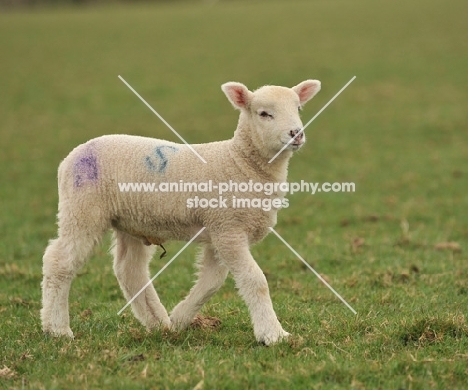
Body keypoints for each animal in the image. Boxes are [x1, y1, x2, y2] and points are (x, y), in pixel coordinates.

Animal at [42, 78, 322, 344]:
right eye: (264, 113)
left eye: (298, 108)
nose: (296, 133)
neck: (239, 162)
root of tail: (70, 157)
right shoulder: (228, 228)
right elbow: (256, 281)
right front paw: (273, 334)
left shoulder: (218, 230)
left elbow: (211, 282)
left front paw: (180, 319)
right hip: (82, 209)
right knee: (59, 261)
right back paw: (57, 329)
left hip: (131, 221)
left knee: (129, 270)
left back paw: (158, 322)